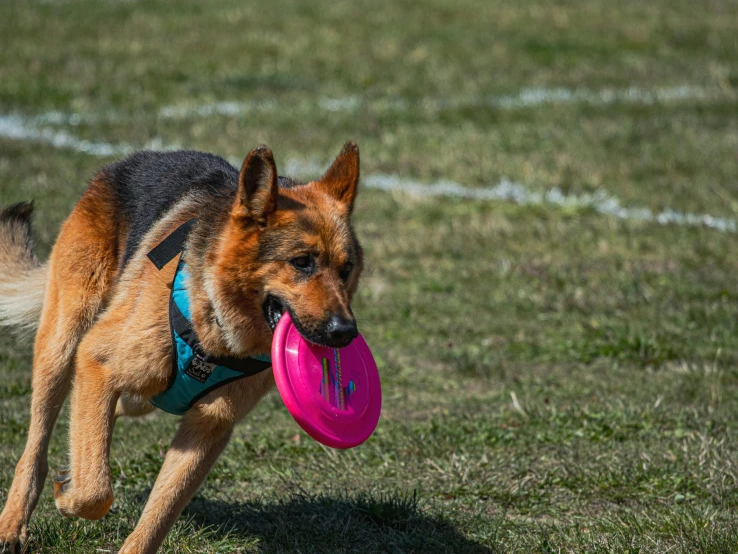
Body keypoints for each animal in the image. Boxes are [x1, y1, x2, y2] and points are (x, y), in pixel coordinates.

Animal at [0, 143, 362, 552]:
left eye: (346, 269)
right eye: (301, 262)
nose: (346, 333)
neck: (216, 330)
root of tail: (128, 162)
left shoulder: (209, 427)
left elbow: (159, 514)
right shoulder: (96, 358)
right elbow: (95, 493)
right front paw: (69, 494)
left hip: (134, 389)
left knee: (115, 410)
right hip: (62, 345)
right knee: (36, 445)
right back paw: (13, 523)